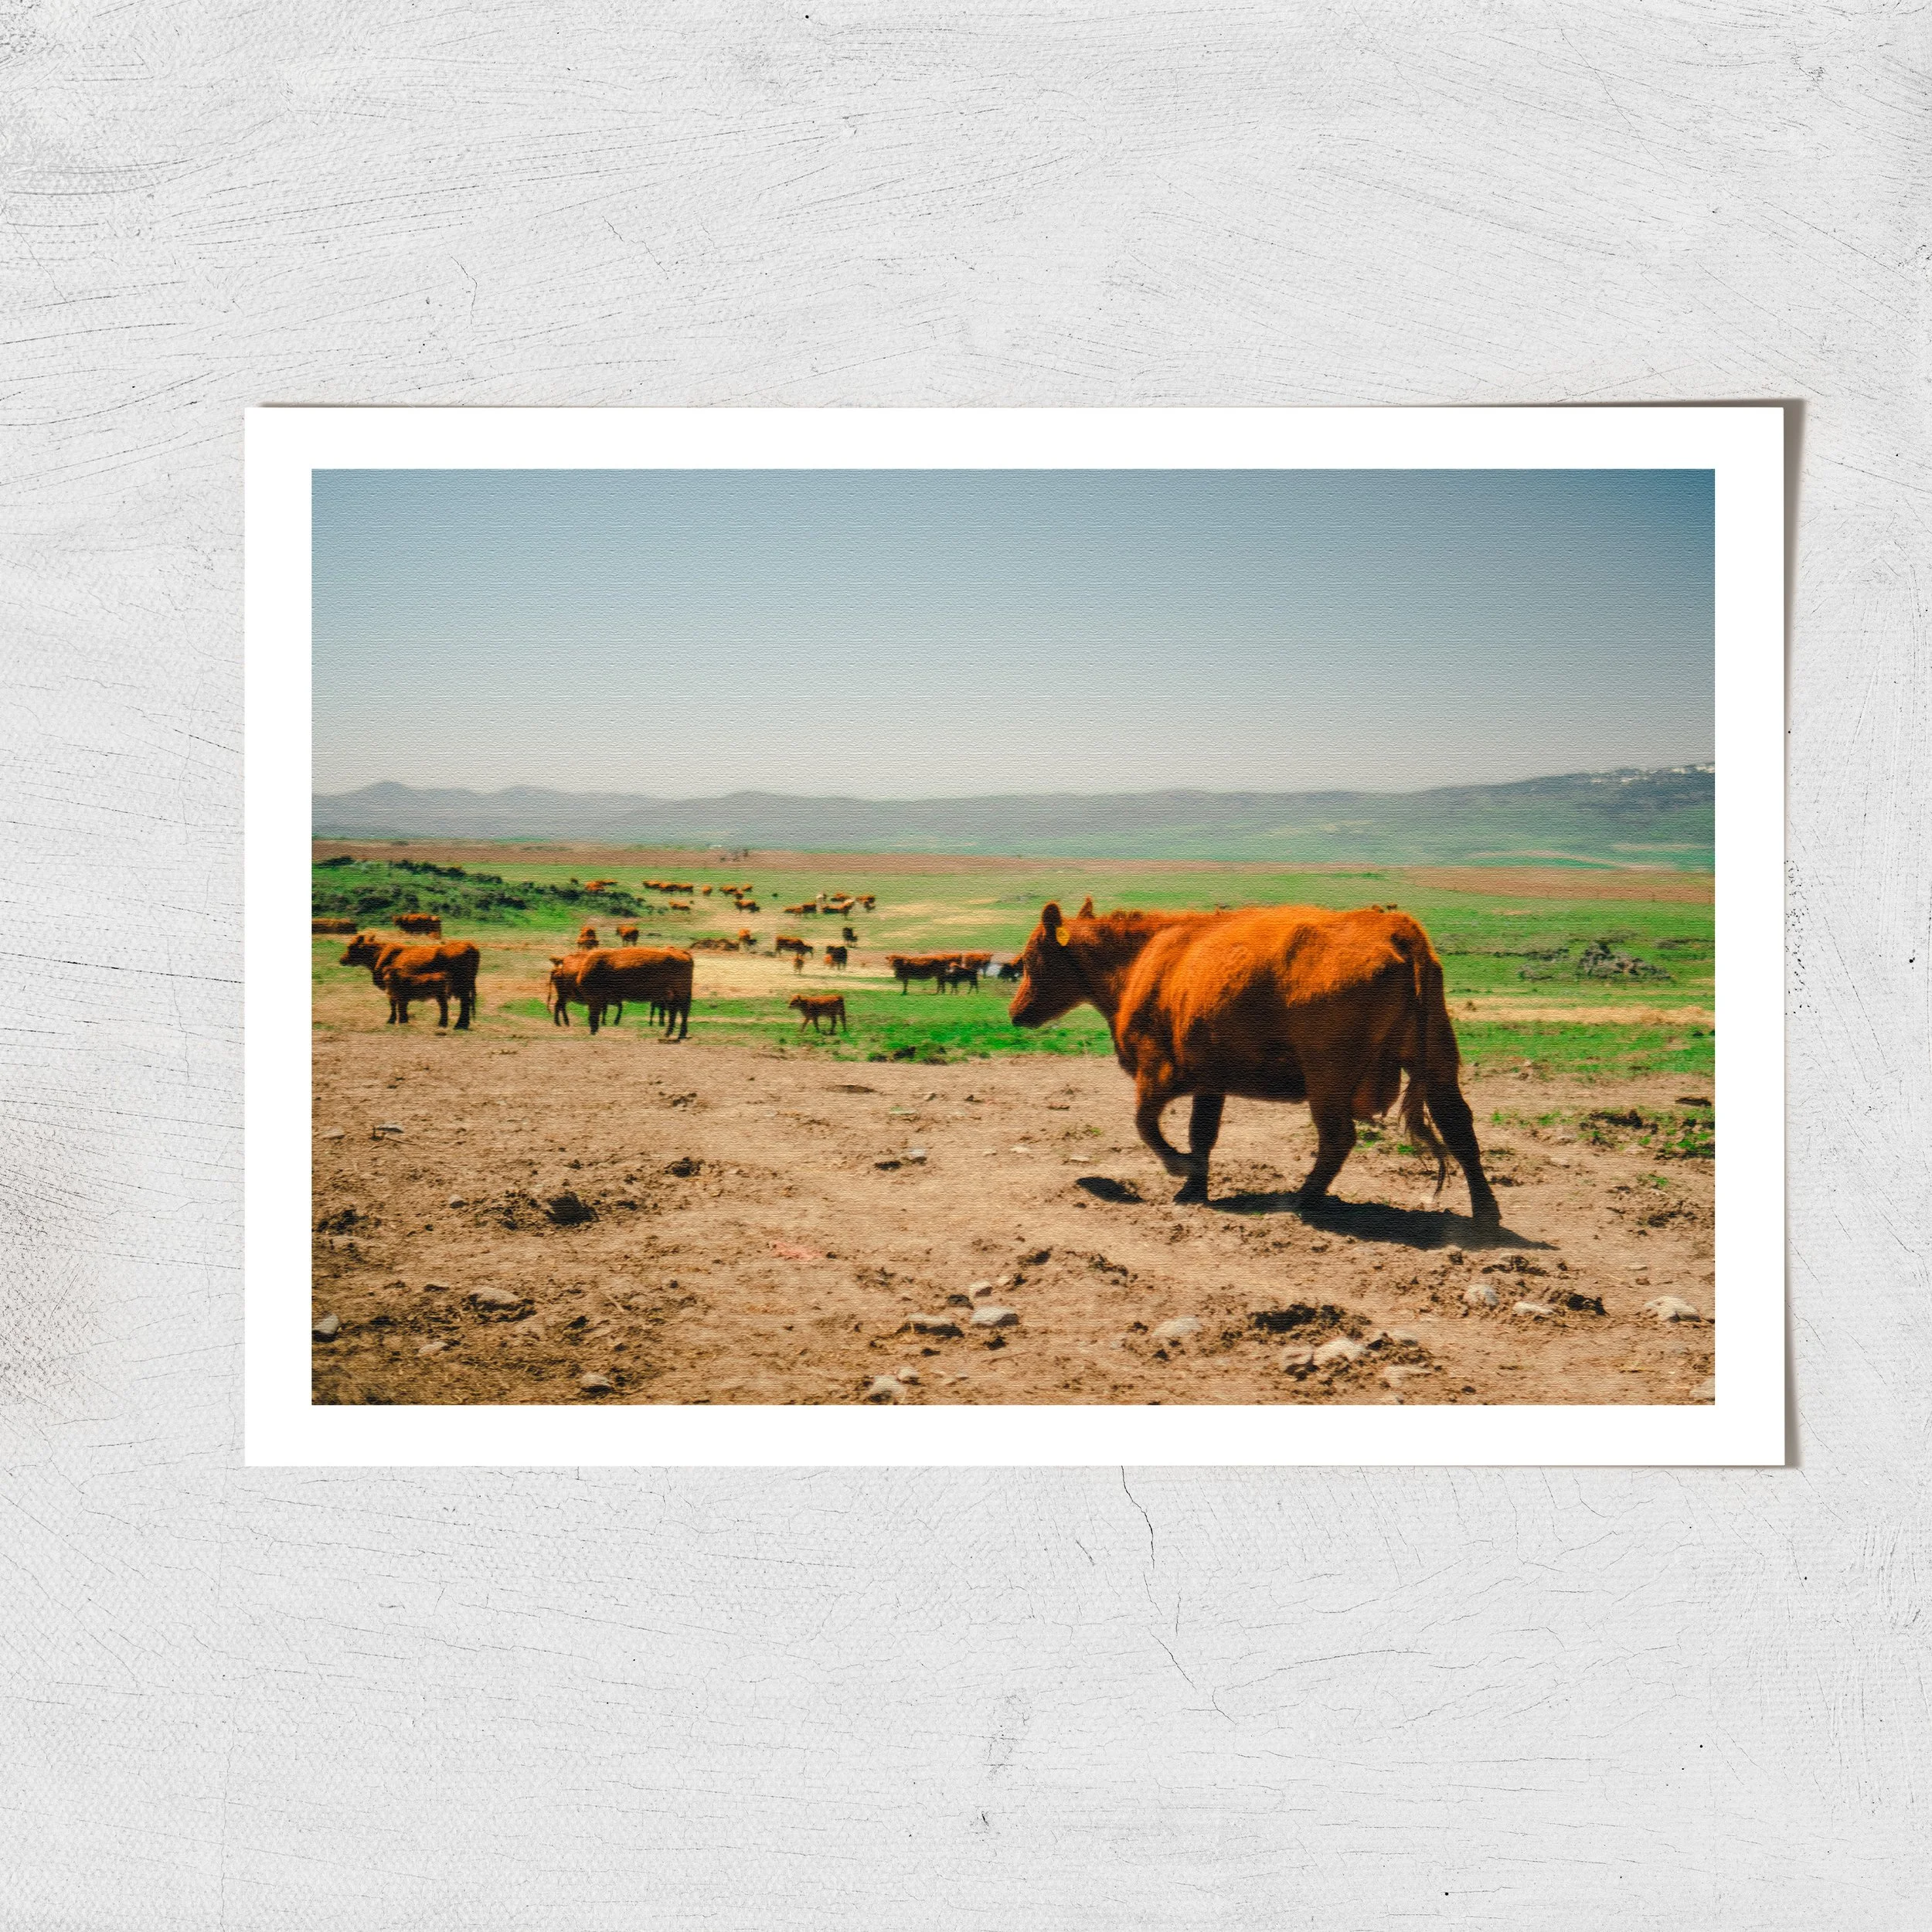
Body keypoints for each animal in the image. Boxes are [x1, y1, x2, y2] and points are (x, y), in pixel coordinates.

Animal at [338, 932, 481, 1030]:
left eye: (351, 947)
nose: (342, 960)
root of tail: (468, 944)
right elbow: (401, 1004)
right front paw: (403, 1020)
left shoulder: (392, 989)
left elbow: (394, 1004)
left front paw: (392, 1020)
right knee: (466, 1003)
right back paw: (462, 1025)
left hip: (462, 986)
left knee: (465, 1003)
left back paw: (459, 1025)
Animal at [579, 947, 693, 1039]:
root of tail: (683, 953)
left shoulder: (595, 999)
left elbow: (594, 1015)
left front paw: (593, 1030)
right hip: (673, 996)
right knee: (676, 1012)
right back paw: (671, 1034)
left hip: (680, 993)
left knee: (683, 1011)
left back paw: (679, 1034)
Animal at [1007, 897, 1500, 1223]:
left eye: (1032, 958)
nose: (1015, 1013)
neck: (1141, 960)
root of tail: (1396, 928)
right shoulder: (1209, 1080)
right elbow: (1202, 1135)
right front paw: (1192, 1189)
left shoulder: (1156, 1071)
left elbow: (1147, 1125)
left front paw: (1180, 1169)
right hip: (1436, 1064)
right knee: (1459, 1127)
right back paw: (1486, 1216)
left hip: (1327, 1077)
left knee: (1338, 1138)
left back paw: (1302, 1201)